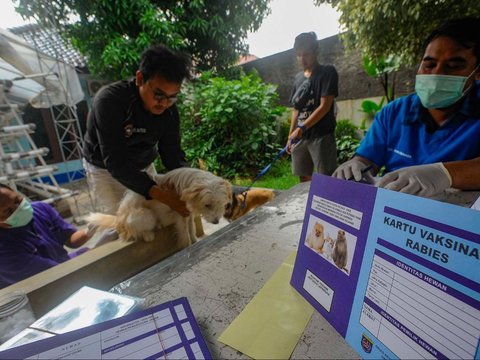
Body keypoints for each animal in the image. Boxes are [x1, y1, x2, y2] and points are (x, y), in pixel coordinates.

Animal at [88, 168, 234, 248]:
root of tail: (118, 221)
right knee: (136, 232)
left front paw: (195, 241)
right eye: (207, 205)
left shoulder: (188, 215)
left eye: (220, 204)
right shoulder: (180, 216)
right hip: (147, 215)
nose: (216, 222)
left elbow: (191, 230)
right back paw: (149, 234)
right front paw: (188, 246)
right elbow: (185, 234)